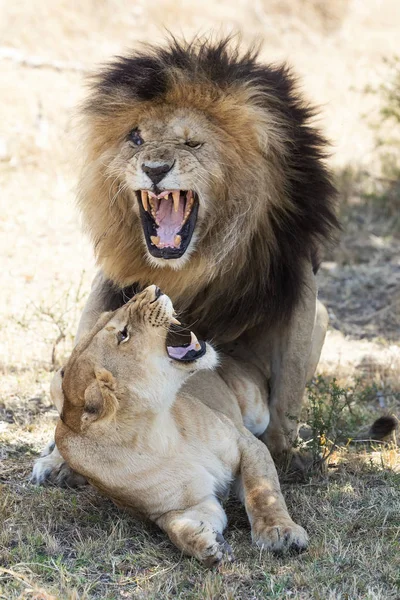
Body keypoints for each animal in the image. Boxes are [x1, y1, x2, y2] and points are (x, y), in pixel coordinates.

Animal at [32, 37, 338, 486]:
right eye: (136, 139)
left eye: (193, 143)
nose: (155, 168)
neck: (199, 261)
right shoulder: (114, 283)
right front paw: (59, 459)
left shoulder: (297, 278)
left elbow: (288, 391)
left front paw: (286, 456)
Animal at [53, 284, 310, 564]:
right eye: (123, 334)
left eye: (111, 318)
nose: (154, 289)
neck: (154, 433)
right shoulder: (184, 504)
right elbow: (176, 528)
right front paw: (205, 543)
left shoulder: (247, 444)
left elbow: (263, 492)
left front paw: (280, 531)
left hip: (257, 410)